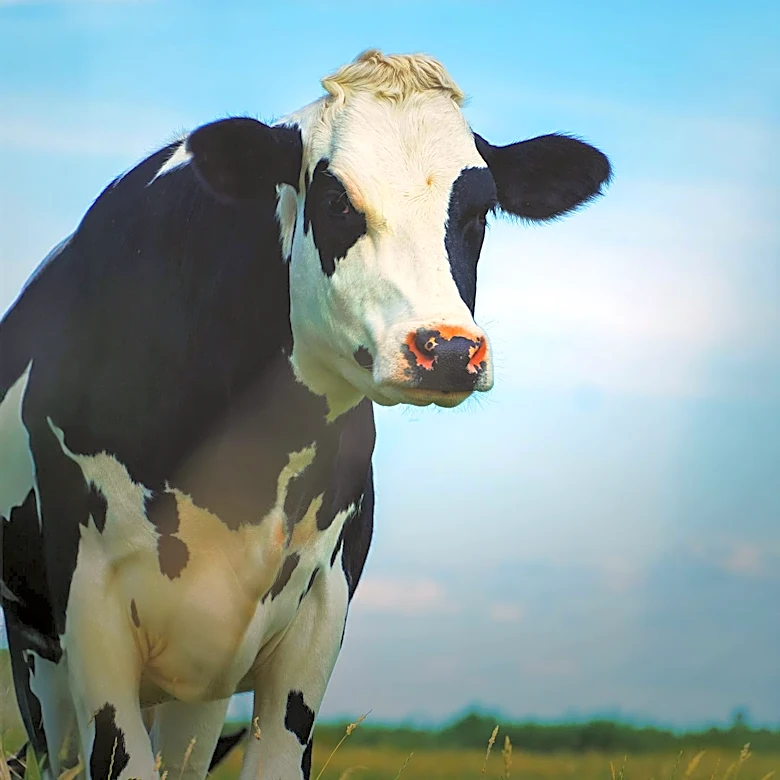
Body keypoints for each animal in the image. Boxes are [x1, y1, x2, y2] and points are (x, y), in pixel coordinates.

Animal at [0, 49, 611, 780]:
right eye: (335, 200)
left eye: (480, 210)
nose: (447, 349)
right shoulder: (89, 607)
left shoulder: (317, 613)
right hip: (38, 656)